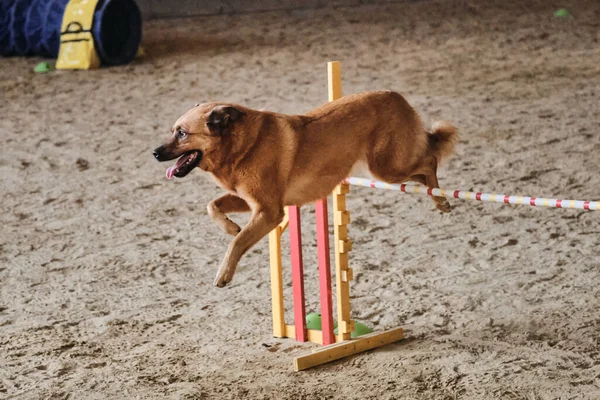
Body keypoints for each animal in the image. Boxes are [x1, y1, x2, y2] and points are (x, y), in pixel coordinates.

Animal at [152, 92, 458, 286]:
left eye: (182, 133)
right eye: (173, 131)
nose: (154, 153)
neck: (243, 145)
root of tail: (398, 97)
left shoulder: (269, 212)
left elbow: (237, 242)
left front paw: (223, 273)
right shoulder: (252, 203)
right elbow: (213, 206)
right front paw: (229, 226)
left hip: (387, 169)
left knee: (429, 161)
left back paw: (442, 200)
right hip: (388, 171)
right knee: (423, 171)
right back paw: (438, 200)